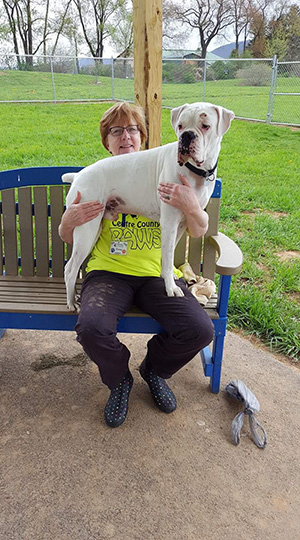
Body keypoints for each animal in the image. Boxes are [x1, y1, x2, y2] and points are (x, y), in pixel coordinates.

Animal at [62, 103, 233, 310]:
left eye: (206, 126)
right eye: (180, 126)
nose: (187, 136)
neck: (195, 172)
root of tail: (78, 175)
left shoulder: (181, 224)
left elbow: (166, 256)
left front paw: (168, 278)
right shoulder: (169, 223)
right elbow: (167, 257)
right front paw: (171, 288)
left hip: (93, 227)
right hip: (86, 229)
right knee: (70, 269)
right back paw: (71, 302)